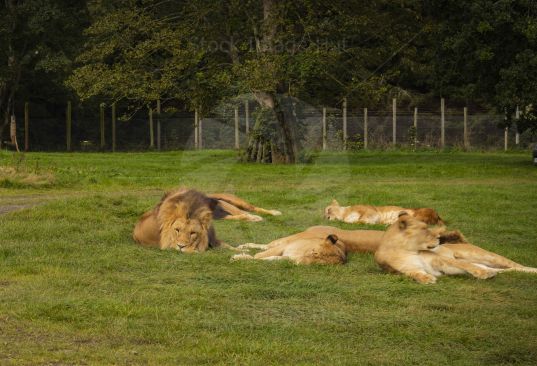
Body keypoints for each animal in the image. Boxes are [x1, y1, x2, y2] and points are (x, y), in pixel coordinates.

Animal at [372, 213, 536, 284]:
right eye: (425, 229)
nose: (439, 239)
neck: (407, 251)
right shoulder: (408, 269)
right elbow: (416, 274)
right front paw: (426, 278)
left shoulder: (441, 260)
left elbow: (463, 264)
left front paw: (483, 274)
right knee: (512, 269)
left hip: (487, 256)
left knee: (518, 265)